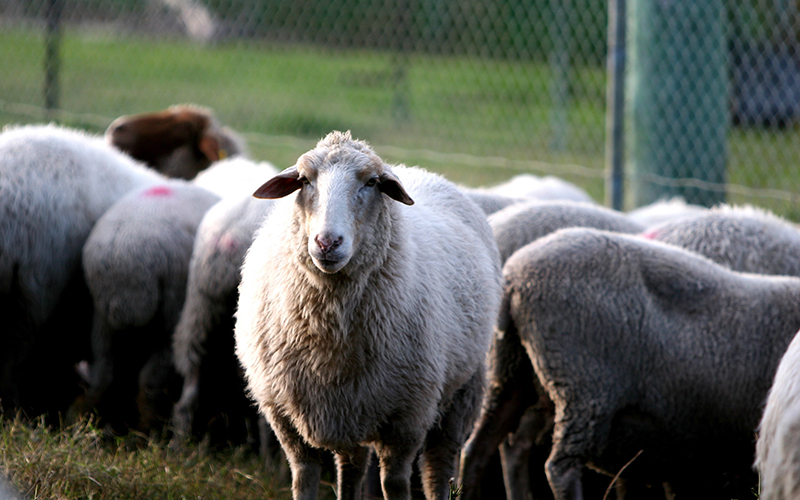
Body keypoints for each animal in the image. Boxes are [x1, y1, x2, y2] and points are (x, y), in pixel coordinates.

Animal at [73, 180, 221, 435]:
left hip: (101, 317)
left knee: (103, 370)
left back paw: (82, 419)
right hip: (172, 313)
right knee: (150, 380)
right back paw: (149, 431)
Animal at [234, 130, 502, 500]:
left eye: (372, 182)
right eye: (303, 180)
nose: (327, 243)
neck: (329, 335)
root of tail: (420, 171)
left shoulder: (407, 418)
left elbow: (395, 483)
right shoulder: (285, 417)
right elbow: (303, 479)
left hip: (462, 389)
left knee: (438, 466)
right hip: (351, 407)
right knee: (352, 468)